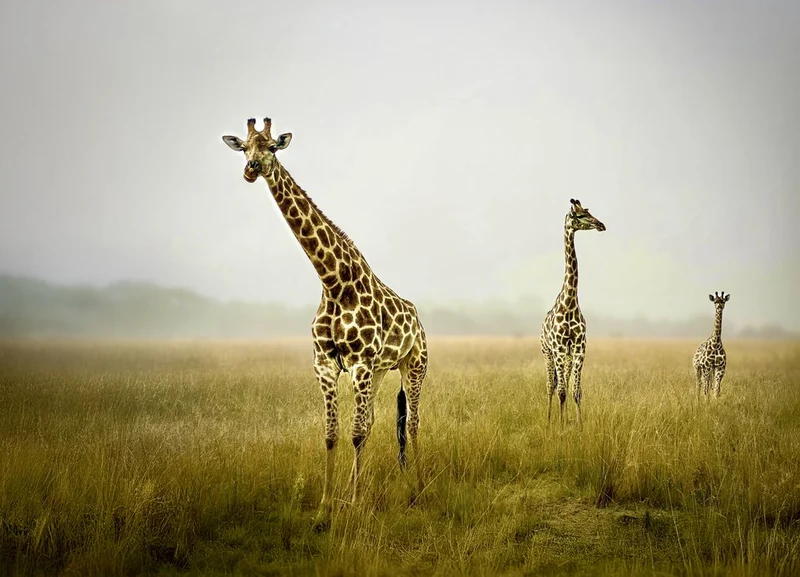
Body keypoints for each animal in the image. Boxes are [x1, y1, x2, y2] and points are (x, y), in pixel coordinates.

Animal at [222, 117, 428, 527]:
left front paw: (355, 503)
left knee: (411, 422)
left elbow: (356, 434)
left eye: (272, 147)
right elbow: (334, 434)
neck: (333, 282)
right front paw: (327, 508)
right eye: (244, 148)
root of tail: (417, 318)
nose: (251, 169)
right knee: (376, 421)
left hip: (414, 364)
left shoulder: (360, 362)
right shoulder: (325, 364)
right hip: (382, 370)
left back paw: (416, 487)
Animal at [540, 198, 606, 428]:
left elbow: (576, 391)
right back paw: (549, 420)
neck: (569, 303)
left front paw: (579, 425)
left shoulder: (579, 348)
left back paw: (565, 417)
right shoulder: (559, 348)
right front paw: (560, 427)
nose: (601, 225)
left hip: (566, 356)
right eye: (579, 215)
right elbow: (560, 390)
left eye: (588, 211)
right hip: (548, 352)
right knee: (551, 385)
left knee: (565, 383)